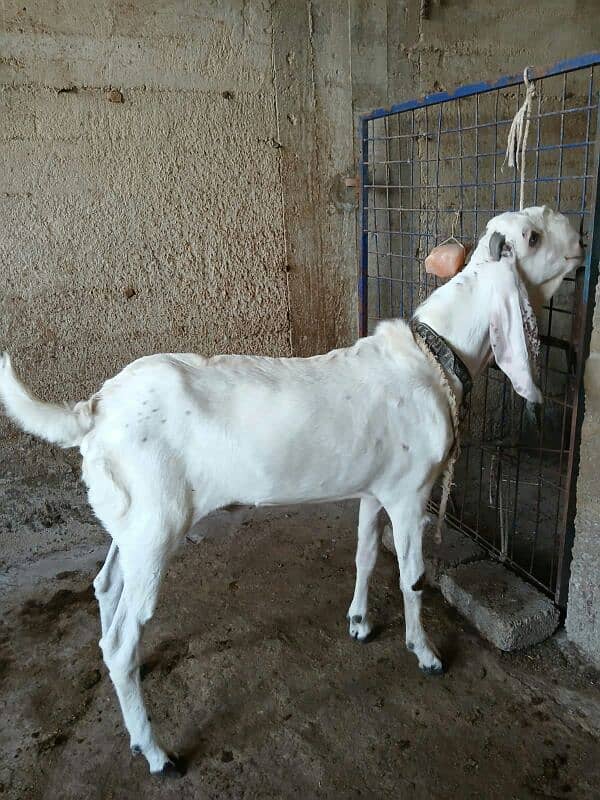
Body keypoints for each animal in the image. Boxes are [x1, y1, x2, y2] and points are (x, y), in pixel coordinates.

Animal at [0, 205, 580, 776]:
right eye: (531, 236)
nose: (577, 234)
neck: (434, 356)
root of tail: (95, 410)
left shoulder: (376, 488)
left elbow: (366, 554)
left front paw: (359, 622)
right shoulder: (410, 493)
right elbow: (413, 577)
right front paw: (426, 653)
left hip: (131, 519)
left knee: (105, 589)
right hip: (156, 525)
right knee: (120, 641)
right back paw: (157, 752)